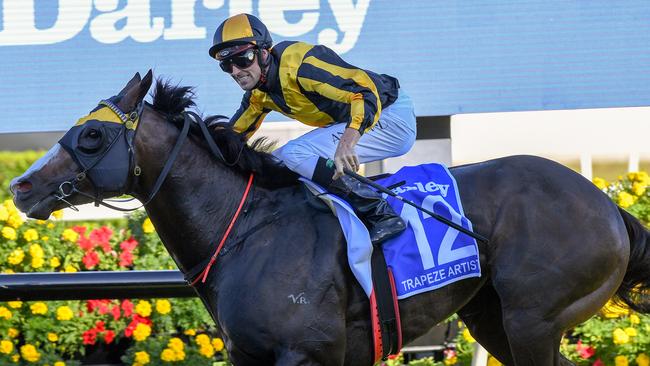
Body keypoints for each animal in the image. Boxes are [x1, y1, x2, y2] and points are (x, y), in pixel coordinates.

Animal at [10, 70, 648, 364]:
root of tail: (606, 203)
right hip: (492, 317)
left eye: (91, 137)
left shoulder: (306, 352)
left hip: (535, 318)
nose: (20, 186)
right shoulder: (251, 356)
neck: (246, 231)